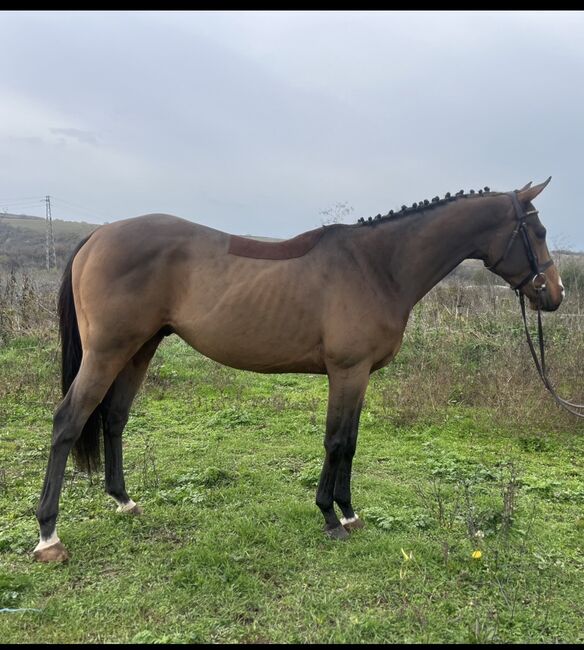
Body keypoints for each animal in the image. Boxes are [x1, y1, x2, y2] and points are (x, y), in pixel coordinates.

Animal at [33, 178, 564, 562]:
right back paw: (49, 537)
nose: (555, 295)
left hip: (139, 349)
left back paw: (123, 501)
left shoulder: (359, 375)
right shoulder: (347, 371)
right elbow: (338, 441)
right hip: (107, 351)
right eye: (537, 233)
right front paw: (331, 516)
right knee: (68, 422)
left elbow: (350, 441)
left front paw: (348, 513)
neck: (378, 266)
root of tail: (98, 235)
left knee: (114, 418)